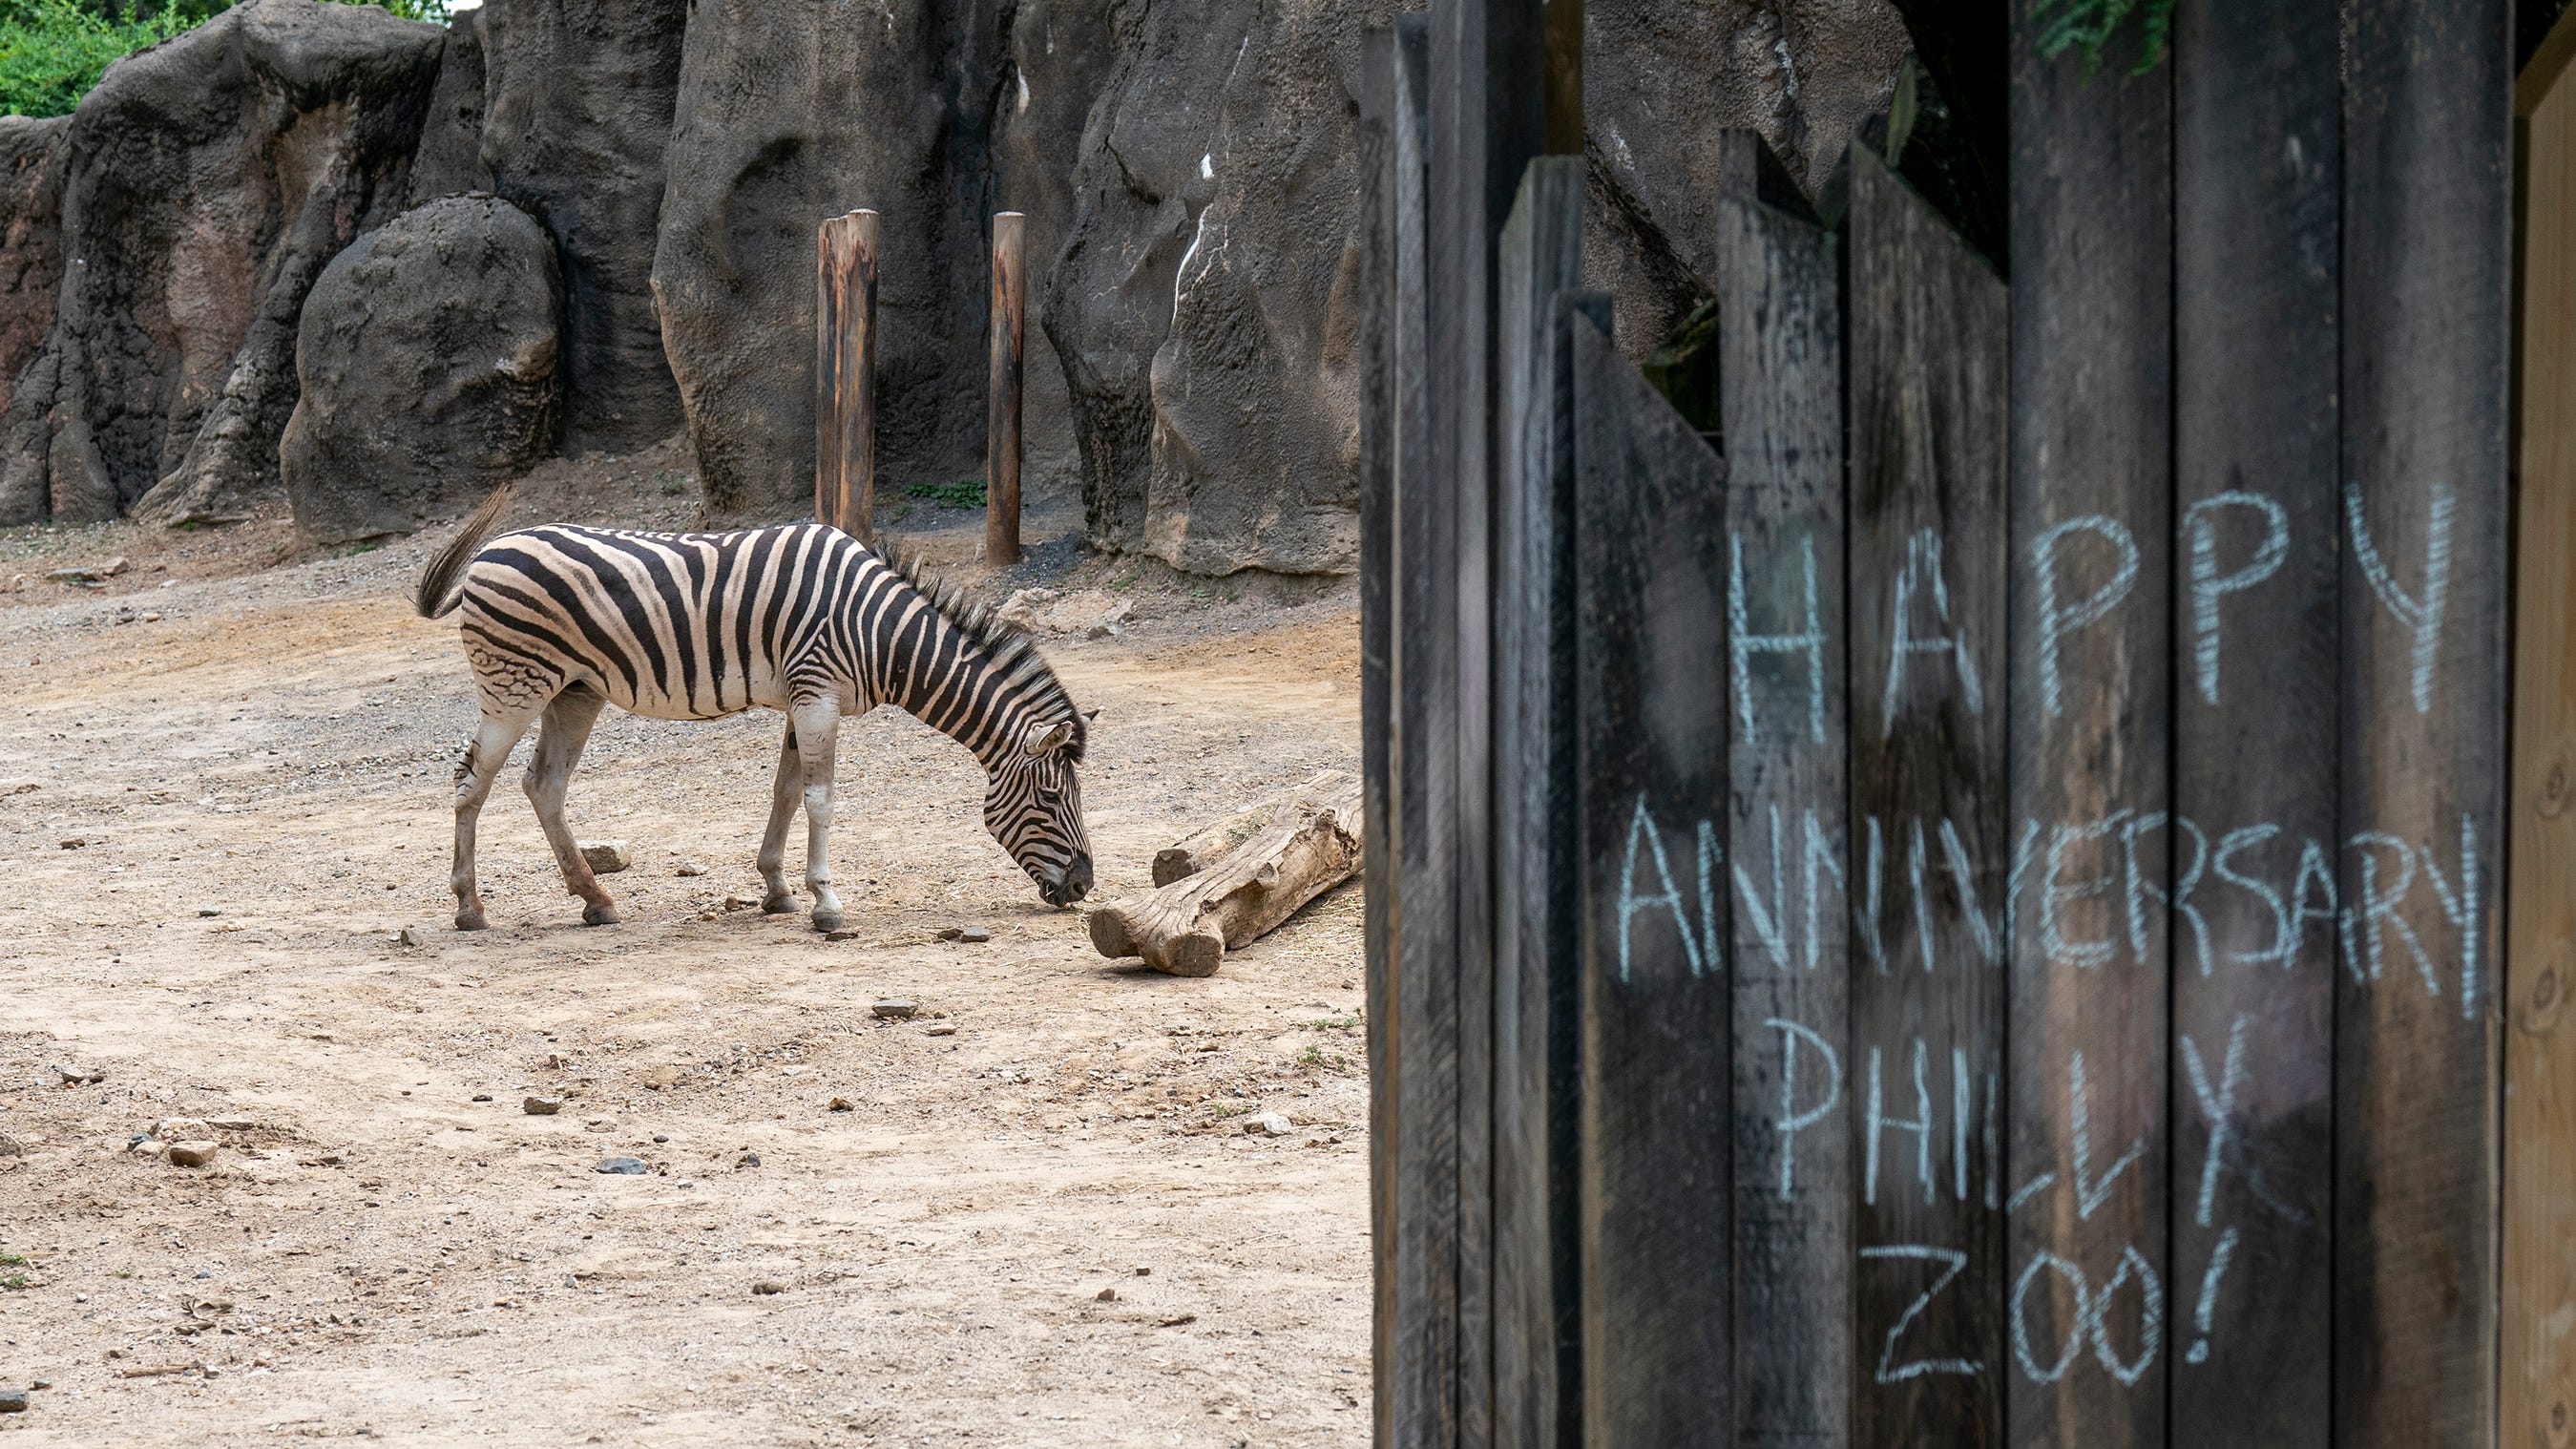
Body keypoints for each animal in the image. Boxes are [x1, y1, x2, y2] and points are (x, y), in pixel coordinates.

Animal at [411, 484, 1097, 928]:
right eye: (1051, 797)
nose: (1084, 885)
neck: (879, 631)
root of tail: (488, 552)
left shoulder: (804, 697)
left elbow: (787, 792)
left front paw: (777, 889)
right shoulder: (818, 691)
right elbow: (820, 799)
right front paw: (826, 903)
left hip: (575, 691)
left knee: (543, 784)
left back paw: (595, 900)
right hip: (514, 686)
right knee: (472, 781)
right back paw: (470, 907)